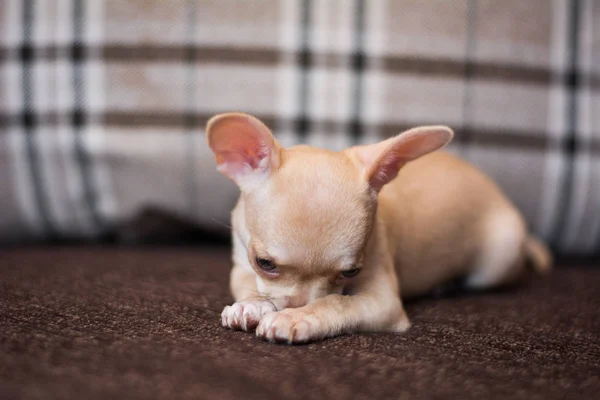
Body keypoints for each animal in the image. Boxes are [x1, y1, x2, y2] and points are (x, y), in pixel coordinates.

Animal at [204, 112, 552, 344]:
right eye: (264, 263)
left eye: (350, 272)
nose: (298, 304)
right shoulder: (241, 264)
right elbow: (249, 284)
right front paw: (252, 306)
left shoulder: (383, 303)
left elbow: (336, 303)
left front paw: (296, 316)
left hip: (497, 261)